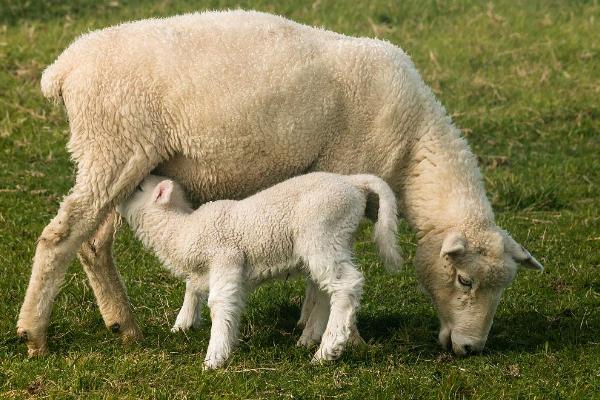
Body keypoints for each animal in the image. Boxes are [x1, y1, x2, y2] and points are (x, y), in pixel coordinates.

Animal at [115, 172, 400, 368]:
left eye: (138, 188)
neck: (182, 229)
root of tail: (353, 183)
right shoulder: (224, 272)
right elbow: (222, 300)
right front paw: (210, 336)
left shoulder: (226, 259)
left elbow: (219, 304)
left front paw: (214, 358)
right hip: (336, 240)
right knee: (325, 290)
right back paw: (310, 338)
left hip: (323, 233)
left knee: (346, 284)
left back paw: (327, 351)